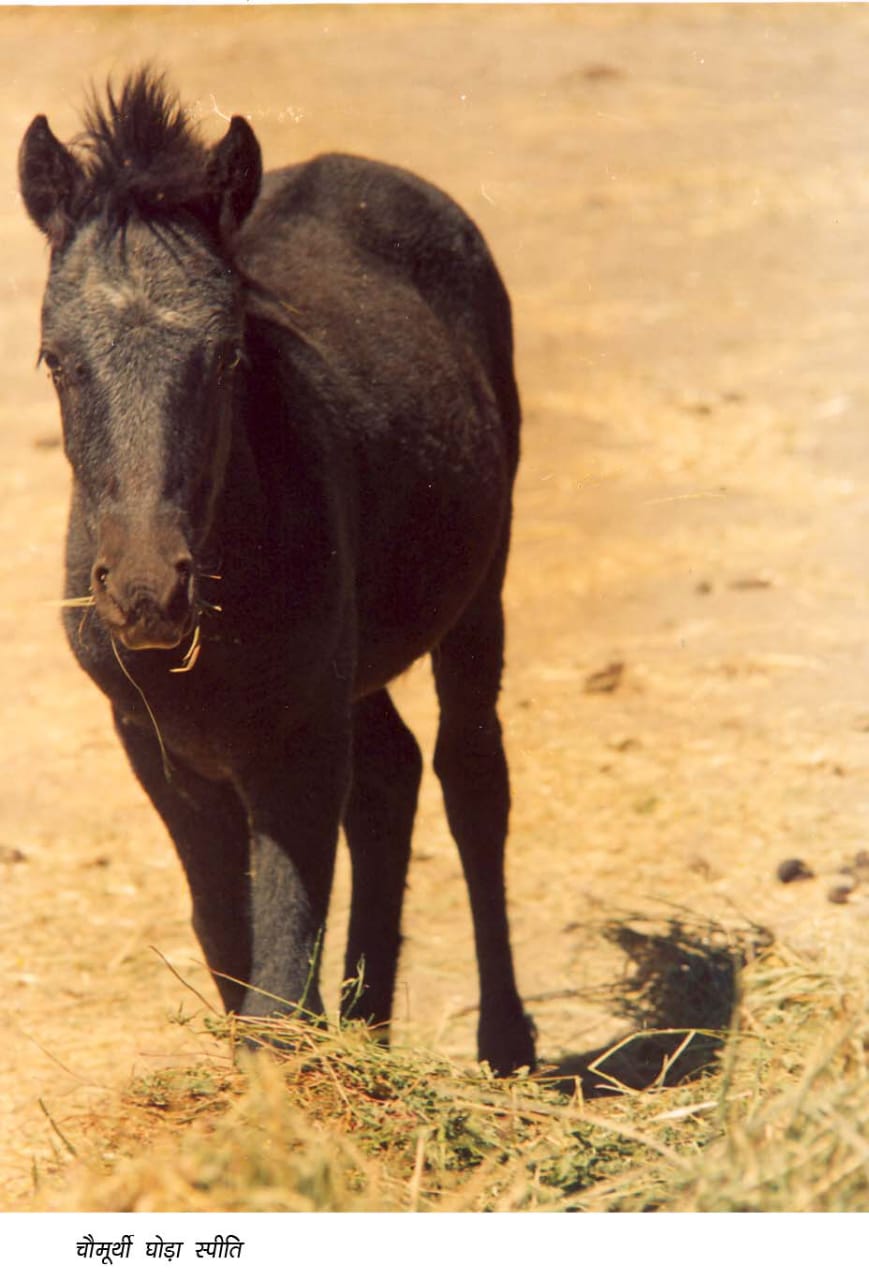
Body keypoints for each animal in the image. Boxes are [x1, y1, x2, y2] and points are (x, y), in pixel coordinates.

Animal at [18, 67, 537, 1070]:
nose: (147, 594)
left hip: (477, 594)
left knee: (470, 774)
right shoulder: (158, 749)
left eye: (227, 355)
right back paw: (370, 1038)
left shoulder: (294, 746)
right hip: (352, 667)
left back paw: (504, 1042)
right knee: (391, 774)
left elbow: (279, 975)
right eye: (54, 360)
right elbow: (228, 943)